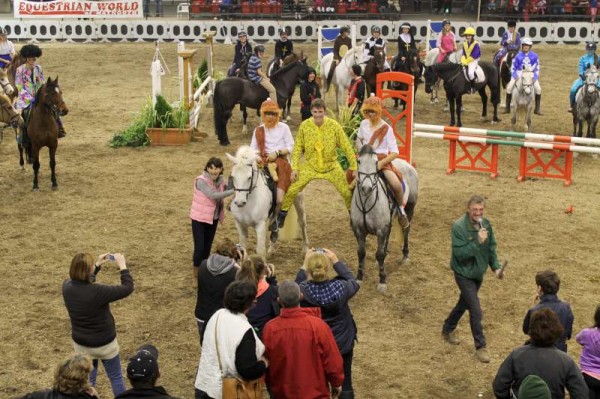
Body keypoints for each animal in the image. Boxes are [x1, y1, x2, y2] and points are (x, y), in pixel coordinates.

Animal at [350, 145, 420, 294]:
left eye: (376, 162)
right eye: (359, 161)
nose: (366, 188)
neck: (367, 203)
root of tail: (407, 164)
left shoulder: (381, 229)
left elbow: (379, 255)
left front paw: (382, 281)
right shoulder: (359, 231)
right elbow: (361, 253)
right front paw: (359, 278)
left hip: (410, 206)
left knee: (406, 229)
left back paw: (405, 256)